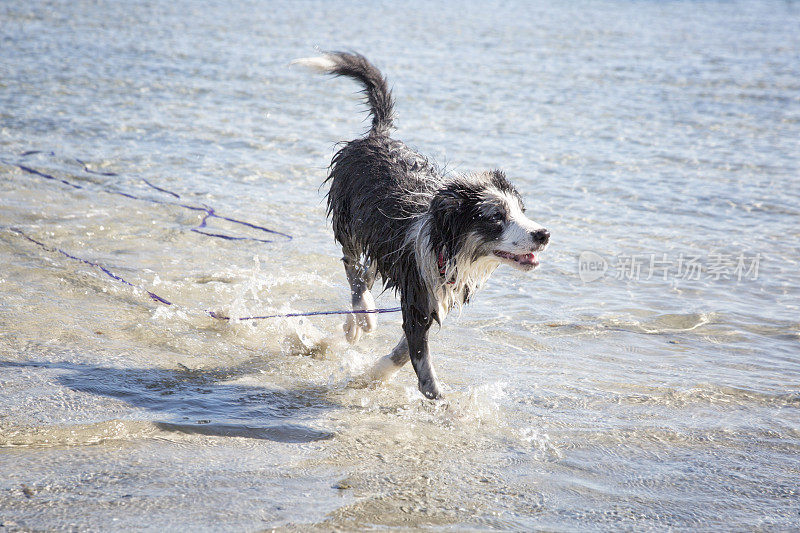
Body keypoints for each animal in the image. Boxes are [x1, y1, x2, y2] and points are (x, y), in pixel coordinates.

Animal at [294, 52, 552, 396]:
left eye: (521, 211)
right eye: (497, 217)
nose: (543, 234)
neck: (446, 245)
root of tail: (378, 136)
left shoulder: (435, 299)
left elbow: (406, 351)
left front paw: (376, 374)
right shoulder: (417, 293)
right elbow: (420, 359)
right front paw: (439, 399)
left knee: (363, 274)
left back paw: (353, 326)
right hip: (350, 222)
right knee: (353, 269)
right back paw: (364, 315)